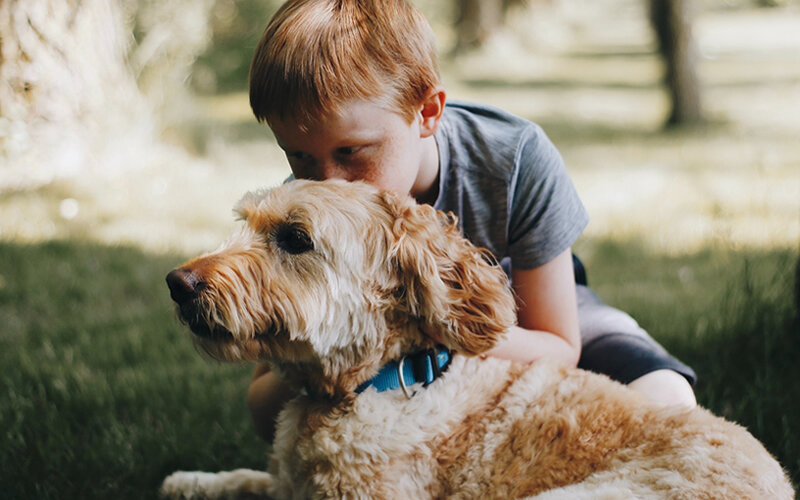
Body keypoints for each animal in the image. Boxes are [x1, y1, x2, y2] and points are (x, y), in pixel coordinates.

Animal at [159, 178, 792, 498]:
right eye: (246, 224)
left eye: (294, 238)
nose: (177, 283)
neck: (383, 379)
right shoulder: (288, 484)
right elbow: (251, 479)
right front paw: (194, 481)